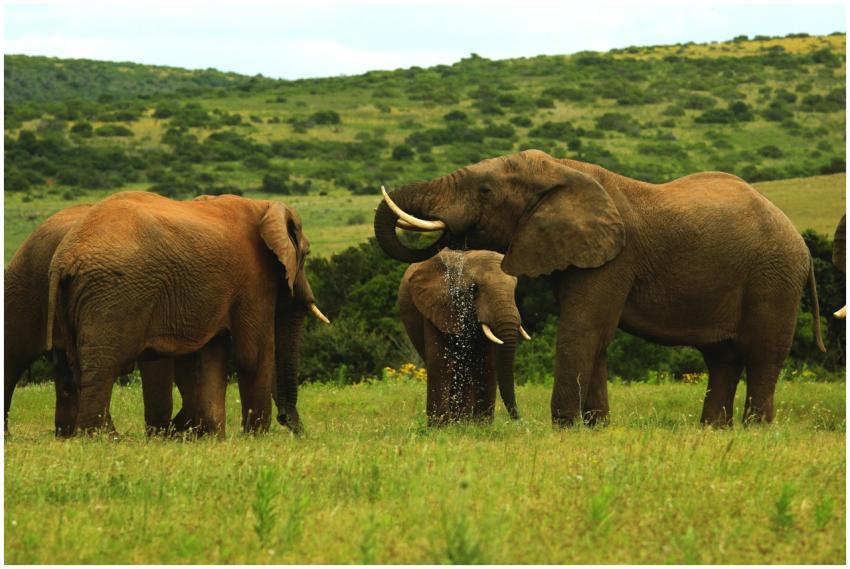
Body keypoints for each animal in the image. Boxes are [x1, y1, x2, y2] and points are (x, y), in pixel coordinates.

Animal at [398, 249, 529, 425]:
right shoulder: (437, 306)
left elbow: (487, 364)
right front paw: (439, 426)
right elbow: (440, 364)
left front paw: (481, 426)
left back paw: (462, 421)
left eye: (515, 289)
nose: (519, 422)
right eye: (474, 289)